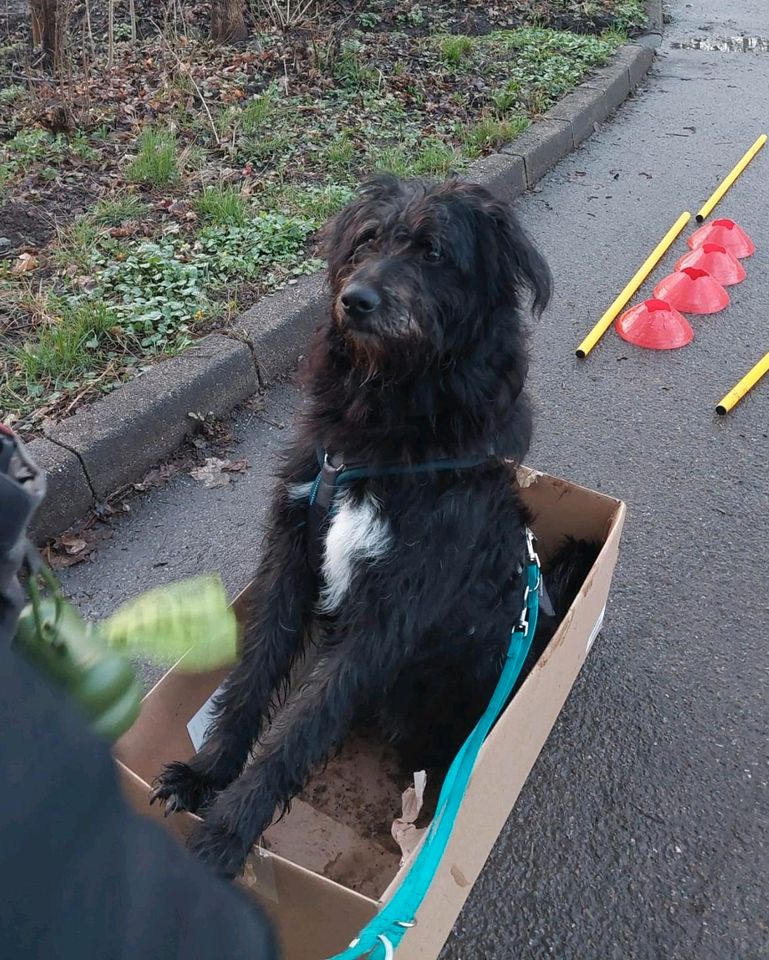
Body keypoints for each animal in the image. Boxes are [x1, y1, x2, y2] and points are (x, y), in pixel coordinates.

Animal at [152, 176, 592, 880]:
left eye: (435, 252)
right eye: (365, 242)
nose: (353, 301)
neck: (385, 427)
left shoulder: (387, 615)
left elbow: (301, 727)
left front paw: (226, 834)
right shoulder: (292, 559)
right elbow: (250, 679)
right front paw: (205, 773)